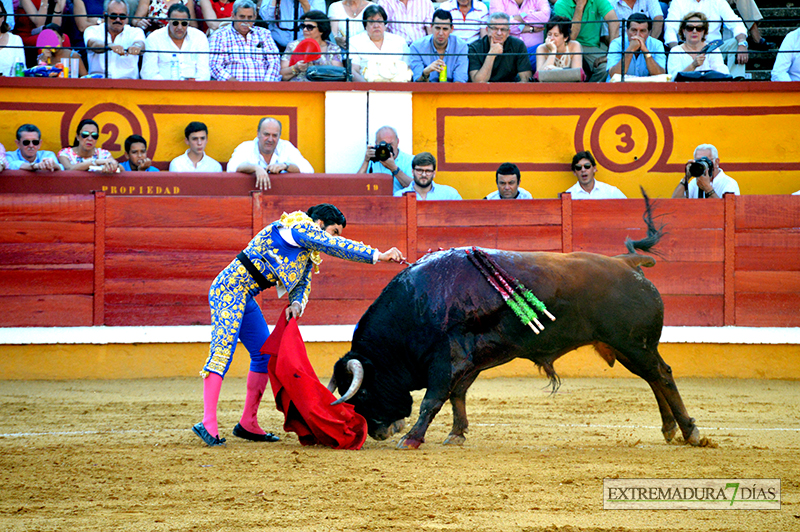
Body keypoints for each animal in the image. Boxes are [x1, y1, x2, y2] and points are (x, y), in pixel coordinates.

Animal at [330, 222, 700, 446]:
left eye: (363, 393)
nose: (377, 432)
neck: (420, 302)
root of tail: (627, 263)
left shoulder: (446, 359)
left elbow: (433, 399)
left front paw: (412, 439)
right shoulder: (470, 361)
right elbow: (457, 394)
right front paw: (456, 435)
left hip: (634, 344)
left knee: (663, 375)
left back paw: (691, 431)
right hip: (626, 348)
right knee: (653, 378)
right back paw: (670, 429)